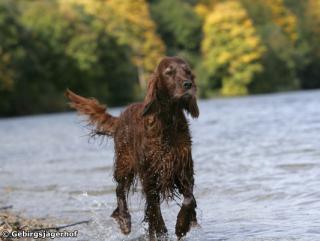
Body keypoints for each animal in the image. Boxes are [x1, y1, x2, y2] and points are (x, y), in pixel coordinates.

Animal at [66, 57, 199, 241]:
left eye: (187, 71)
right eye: (169, 72)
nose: (188, 84)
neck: (167, 123)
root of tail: (120, 117)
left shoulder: (183, 169)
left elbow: (188, 199)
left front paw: (182, 225)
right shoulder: (150, 177)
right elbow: (155, 212)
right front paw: (161, 232)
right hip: (124, 164)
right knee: (119, 189)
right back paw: (124, 220)